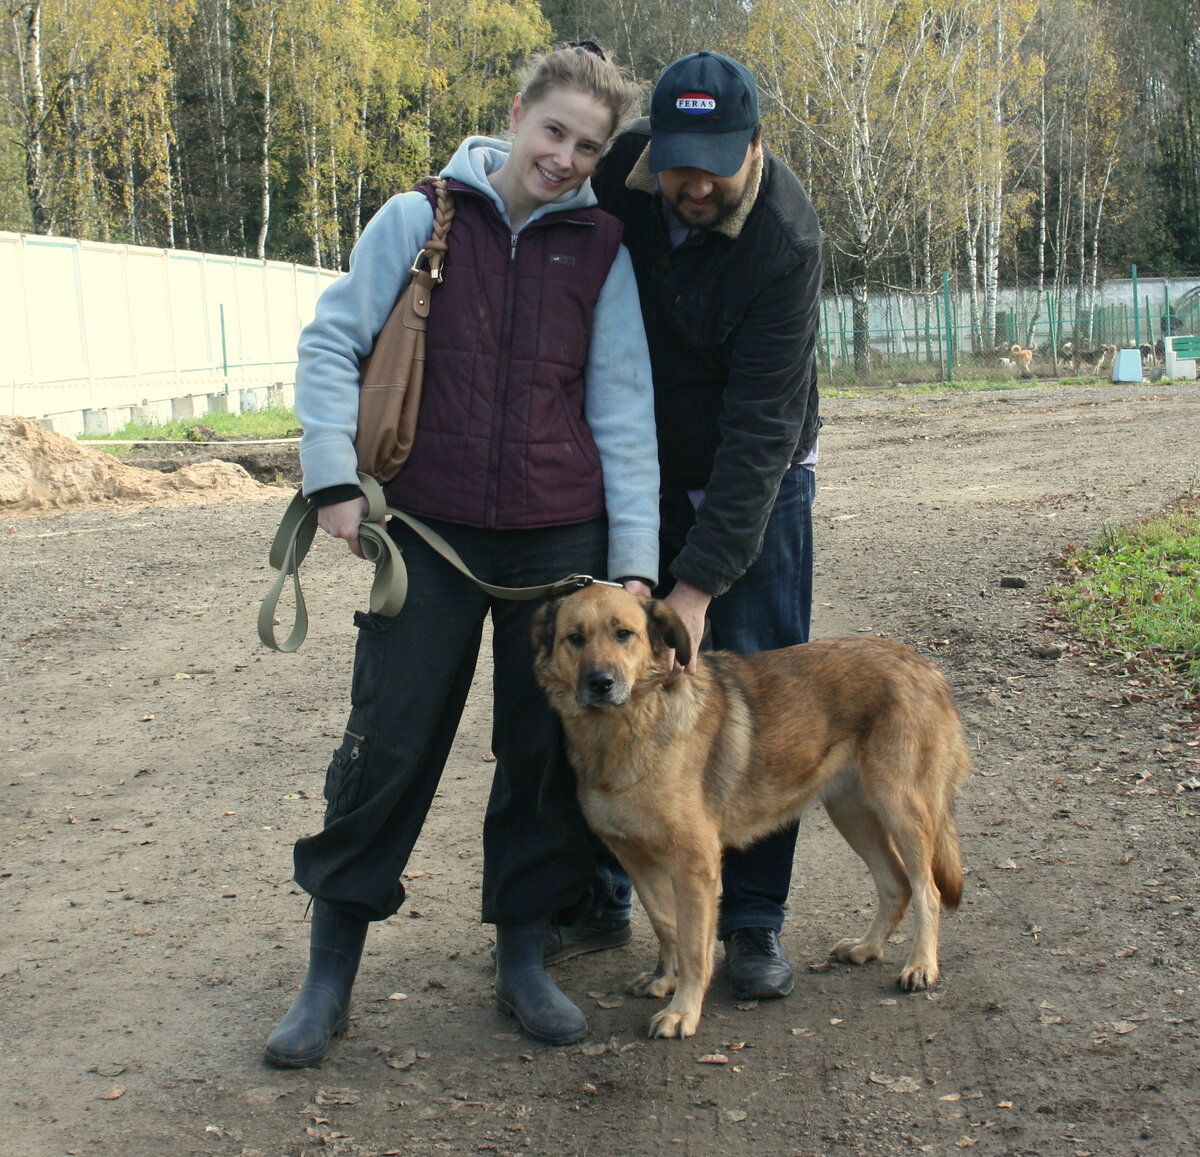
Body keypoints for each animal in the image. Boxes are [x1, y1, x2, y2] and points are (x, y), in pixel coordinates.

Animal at [535, 588, 974, 1041]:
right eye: (574, 638)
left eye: (624, 633)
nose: (600, 683)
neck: (623, 727)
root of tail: (924, 665)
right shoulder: (636, 859)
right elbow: (666, 925)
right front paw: (665, 980)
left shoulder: (695, 864)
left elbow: (693, 946)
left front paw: (683, 1010)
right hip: (852, 814)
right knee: (895, 885)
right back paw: (867, 948)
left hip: (902, 809)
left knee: (927, 889)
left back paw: (921, 965)